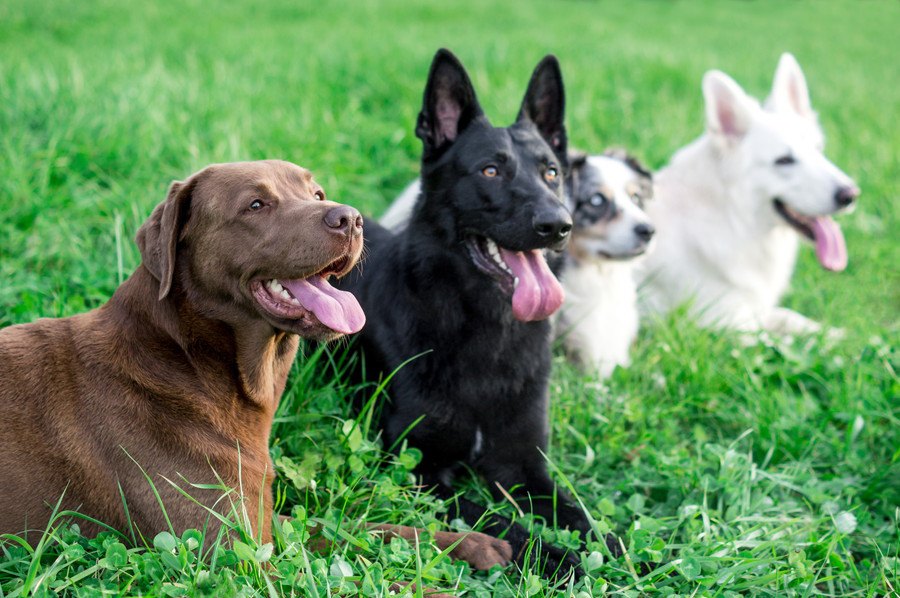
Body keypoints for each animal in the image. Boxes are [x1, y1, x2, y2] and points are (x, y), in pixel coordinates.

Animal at [0, 159, 506, 576]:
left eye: (317, 194)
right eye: (256, 204)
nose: (351, 217)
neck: (192, 363)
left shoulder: (261, 527)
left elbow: (355, 526)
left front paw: (472, 543)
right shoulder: (232, 556)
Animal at [338, 50, 592, 576]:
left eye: (551, 172)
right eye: (490, 171)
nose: (558, 225)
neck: (486, 333)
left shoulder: (524, 466)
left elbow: (577, 511)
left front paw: (618, 551)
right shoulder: (422, 472)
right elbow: (496, 520)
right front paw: (555, 558)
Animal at [636, 53, 860, 336]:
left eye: (818, 150)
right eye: (784, 160)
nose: (850, 194)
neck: (731, 217)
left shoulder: (757, 310)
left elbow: (794, 319)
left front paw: (847, 336)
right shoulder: (730, 328)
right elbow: (785, 340)